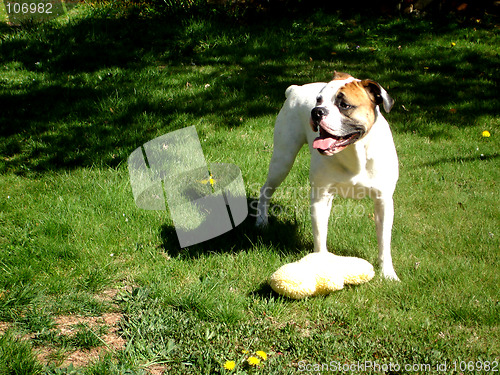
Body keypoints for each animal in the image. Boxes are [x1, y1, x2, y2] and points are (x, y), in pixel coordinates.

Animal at [256, 72, 400, 280]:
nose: (317, 111)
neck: (354, 153)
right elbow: (319, 236)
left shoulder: (383, 202)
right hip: (282, 160)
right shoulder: (320, 198)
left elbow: (384, 240)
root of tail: (295, 89)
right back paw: (261, 221)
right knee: (265, 190)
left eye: (344, 105)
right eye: (319, 100)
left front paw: (388, 272)